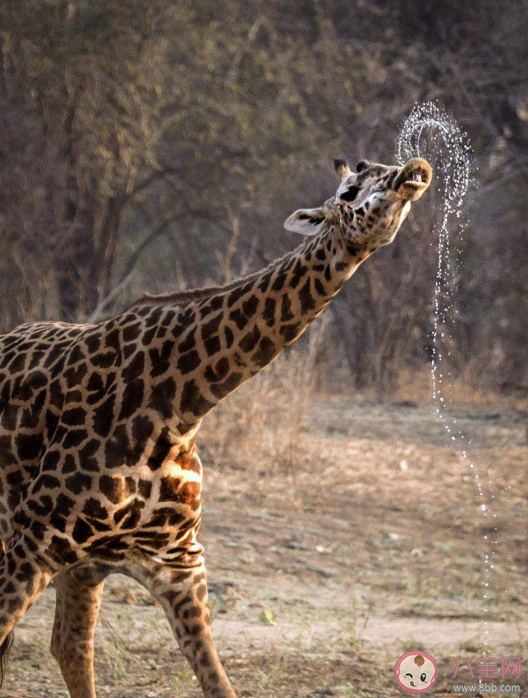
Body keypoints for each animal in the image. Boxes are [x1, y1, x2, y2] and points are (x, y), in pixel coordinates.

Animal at [0, 155, 432, 692]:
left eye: (386, 164)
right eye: (350, 190)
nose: (415, 169)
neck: (181, 407)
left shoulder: (178, 562)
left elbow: (218, 682)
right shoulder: (35, 540)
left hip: (82, 567)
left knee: (70, 645)